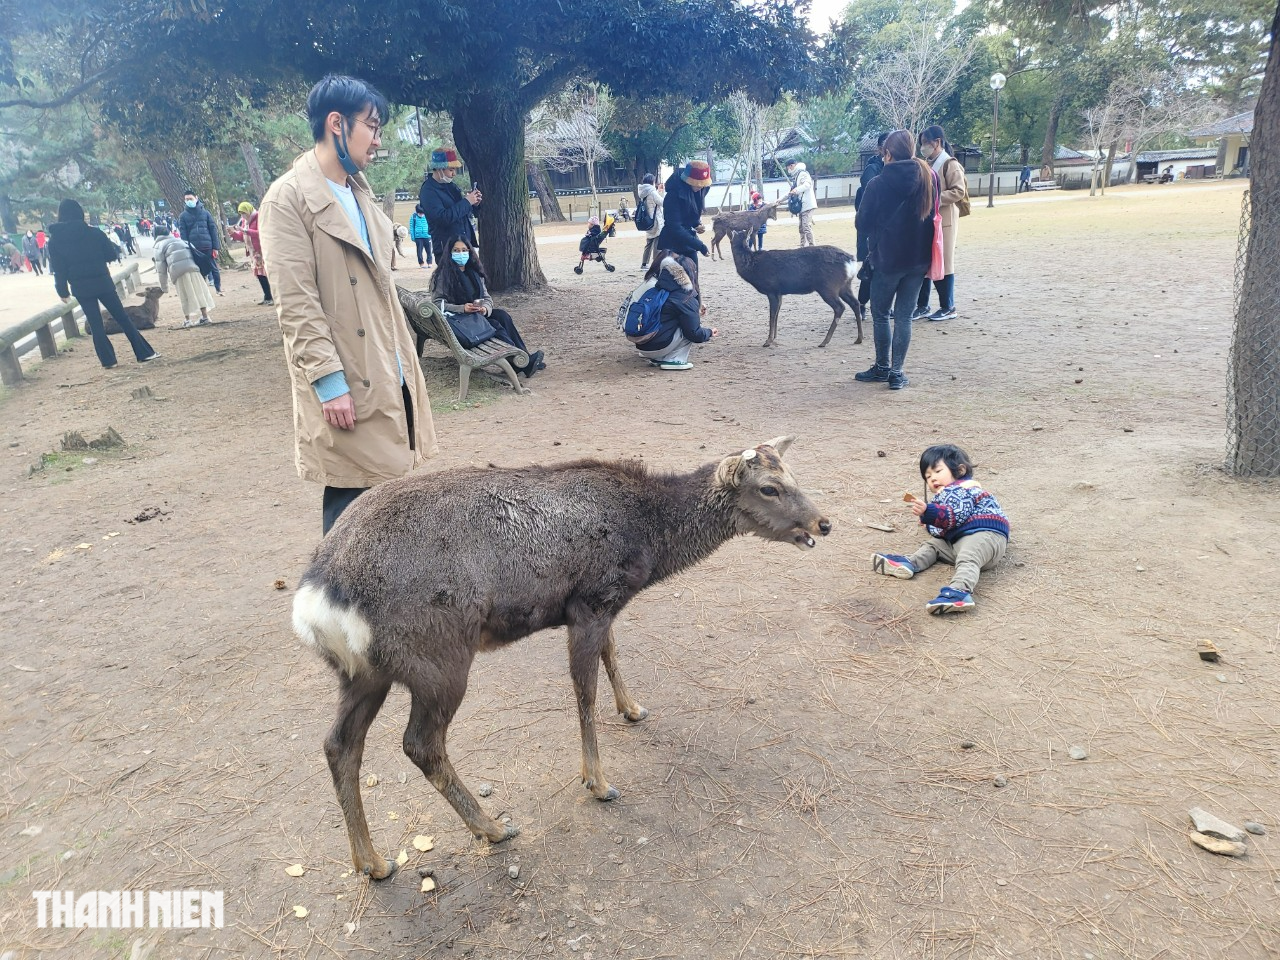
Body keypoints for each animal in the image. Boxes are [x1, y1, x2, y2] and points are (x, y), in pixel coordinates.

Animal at [290, 440, 829, 885]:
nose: (823, 523)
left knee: (339, 744)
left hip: (363, 672)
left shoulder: (603, 605)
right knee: (420, 744)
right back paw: (492, 827)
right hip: (438, 657)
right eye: (769, 487)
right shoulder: (592, 598)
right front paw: (599, 783)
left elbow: (612, 652)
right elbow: (584, 691)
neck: (648, 542)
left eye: (794, 474)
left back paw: (372, 862)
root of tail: (317, 598)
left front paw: (633, 709)